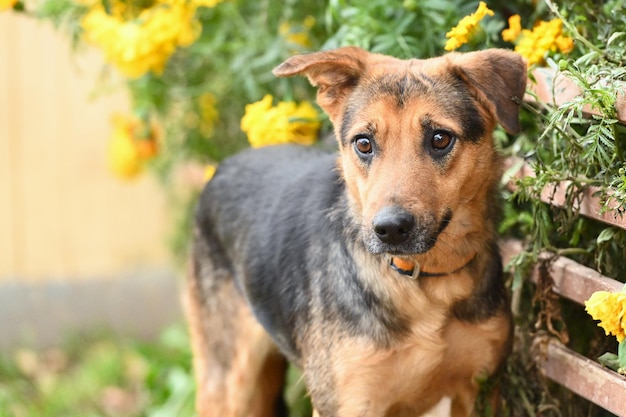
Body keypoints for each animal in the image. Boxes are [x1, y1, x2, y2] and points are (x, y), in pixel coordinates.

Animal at [186, 45, 528, 416]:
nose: (390, 229)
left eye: (440, 139)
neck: (425, 283)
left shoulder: (480, 390)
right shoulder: (350, 402)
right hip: (230, 384)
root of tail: (223, 167)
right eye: (363, 143)